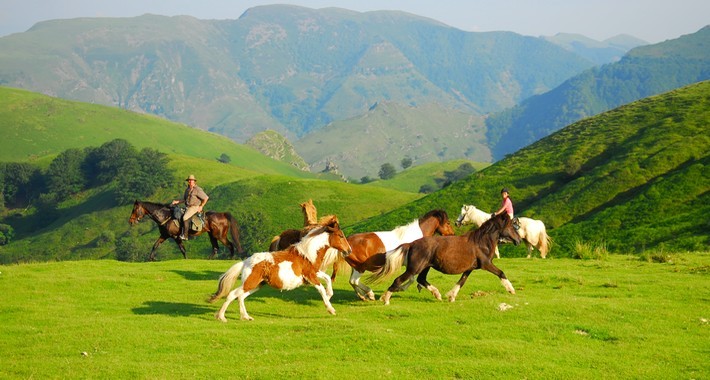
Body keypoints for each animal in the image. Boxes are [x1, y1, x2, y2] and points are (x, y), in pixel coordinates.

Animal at [209, 217, 354, 320]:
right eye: (341, 236)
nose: (349, 250)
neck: (307, 254)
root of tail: (245, 262)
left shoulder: (314, 273)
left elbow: (328, 279)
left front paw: (330, 295)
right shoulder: (310, 276)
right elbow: (321, 289)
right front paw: (331, 309)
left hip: (257, 284)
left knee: (241, 296)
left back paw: (246, 317)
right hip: (250, 282)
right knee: (233, 294)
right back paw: (221, 317)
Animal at [368, 214, 524, 306]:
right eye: (511, 226)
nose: (519, 240)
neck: (481, 242)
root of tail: (411, 244)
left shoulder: (470, 268)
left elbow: (461, 282)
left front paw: (451, 296)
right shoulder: (486, 264)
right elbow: (501, 273)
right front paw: (511, 290)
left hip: (425, 267)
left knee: (421, 279)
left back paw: (437, 295)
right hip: (414, 268)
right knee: (399, 280)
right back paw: (385, 299)